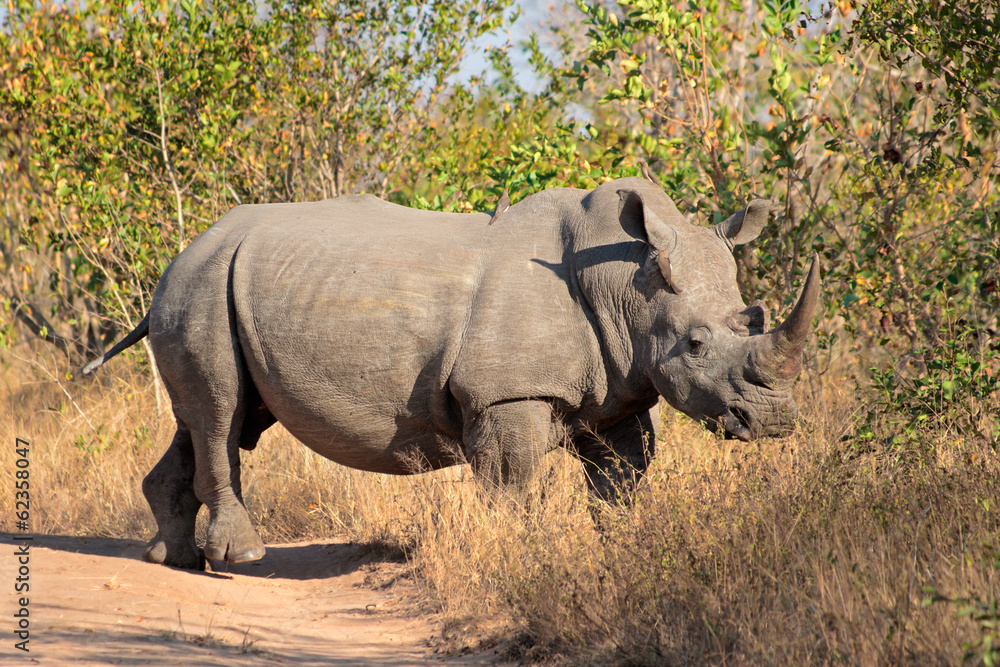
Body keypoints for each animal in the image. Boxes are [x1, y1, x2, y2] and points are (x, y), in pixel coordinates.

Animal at [82, 177, 819, 570]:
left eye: (751, 318)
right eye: (694, 343)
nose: (775, 419)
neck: (624, 284)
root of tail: (182, 253)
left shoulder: (619, 393)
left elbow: (620, 483)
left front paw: (624, 557)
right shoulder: (507, 394)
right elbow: (513, 485)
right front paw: (518, 559)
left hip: (214, 285)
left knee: (214, 418)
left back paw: (171, 559)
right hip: (201, 286)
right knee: (221, 410)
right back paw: (239, 561)